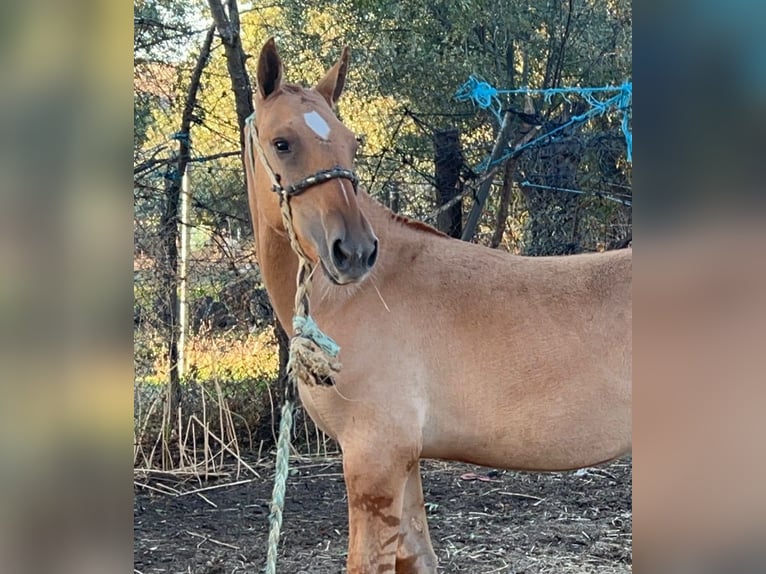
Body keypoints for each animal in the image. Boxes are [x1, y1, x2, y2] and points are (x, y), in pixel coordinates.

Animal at [244, 38, 632, 572]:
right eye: (282, 142)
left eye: (351, 144)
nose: (355, 252)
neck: (363, 293)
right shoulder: (404, 461)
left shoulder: (374, 457)